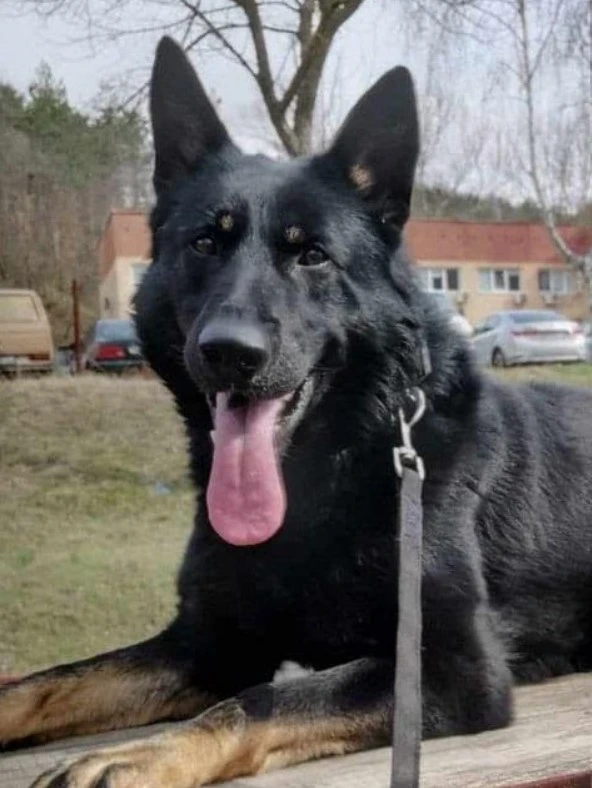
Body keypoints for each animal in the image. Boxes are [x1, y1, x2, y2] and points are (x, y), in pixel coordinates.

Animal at [2, 35, 592, 788]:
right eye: (205, 242)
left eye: (311, 254)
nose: (230, 351)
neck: (331, 468)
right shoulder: (207, 643)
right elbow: (51, 681)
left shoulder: (450, 666)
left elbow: (261, 699)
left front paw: (139, 755)